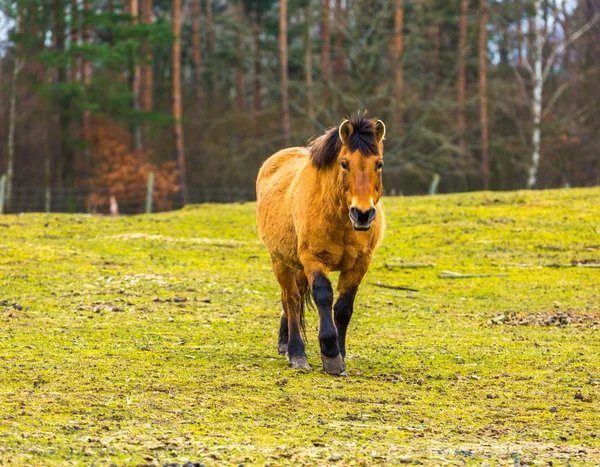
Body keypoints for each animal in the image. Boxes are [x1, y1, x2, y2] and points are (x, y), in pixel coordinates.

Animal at [255, 116, 386, 376]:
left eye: (379, 164)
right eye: (344, 164)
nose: (362, 214)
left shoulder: (360, 263)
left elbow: (343, 308)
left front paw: (340, 355)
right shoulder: (314, 259)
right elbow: (323, 296)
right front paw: (330, 353)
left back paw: (285, 343)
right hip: (280, 260)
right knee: (291, 299)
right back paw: (296, 352)